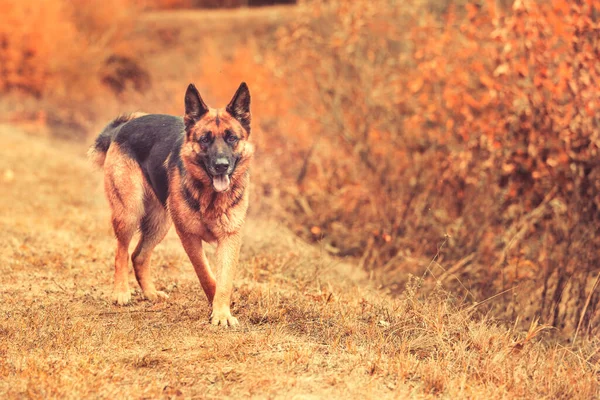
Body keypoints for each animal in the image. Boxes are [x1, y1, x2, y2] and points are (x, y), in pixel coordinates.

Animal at [88, 83, 252, 326]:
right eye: (204, 139)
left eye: (232, 138)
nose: (221, 165)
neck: (210, 196)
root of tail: (121, 128)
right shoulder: (188, 236)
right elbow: (205, 272)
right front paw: (216, 304)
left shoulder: (230, 238)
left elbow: (224, 280)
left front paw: (222, 311)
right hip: (129, 213)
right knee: (121, 252)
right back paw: (121, 292)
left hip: (159, 223)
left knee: (138, 256)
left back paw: (150, 293)